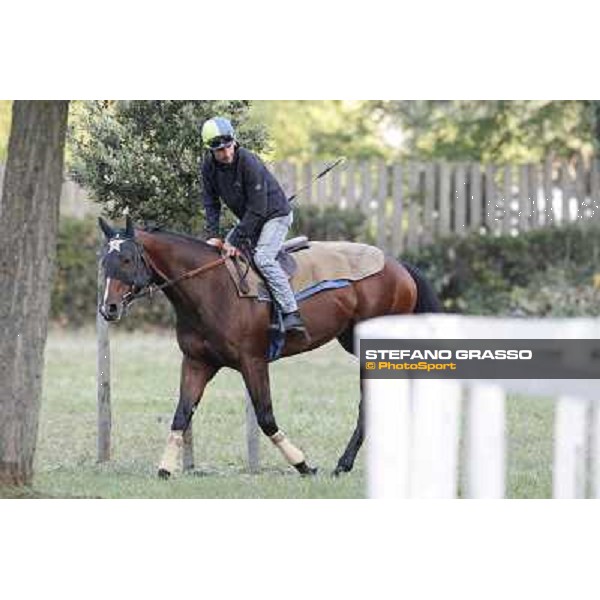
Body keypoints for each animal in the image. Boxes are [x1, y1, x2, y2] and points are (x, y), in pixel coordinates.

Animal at [96, 216, 438, 478]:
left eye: (127, 259)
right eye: (104, 261)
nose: (109, 308)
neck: (212, 289)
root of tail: (398, 266)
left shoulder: (253, 362)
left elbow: (265, 416)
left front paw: (303, 465)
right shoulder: (197, 362)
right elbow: (182, 413)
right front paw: (165, 469)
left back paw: (345, 463)